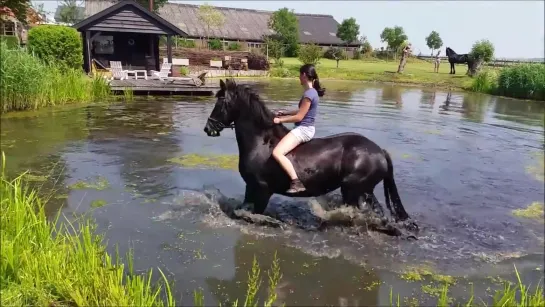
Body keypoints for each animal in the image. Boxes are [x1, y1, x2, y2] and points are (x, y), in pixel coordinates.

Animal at [202, 80, 414, 231]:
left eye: (220, 102)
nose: (207, 128)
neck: (261, 143)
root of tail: (380, 151)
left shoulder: (262, 189)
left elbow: (251, 214)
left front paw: (275, 223)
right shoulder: (251, 186)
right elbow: (241, 211)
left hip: (354, 189)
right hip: (362, 191)